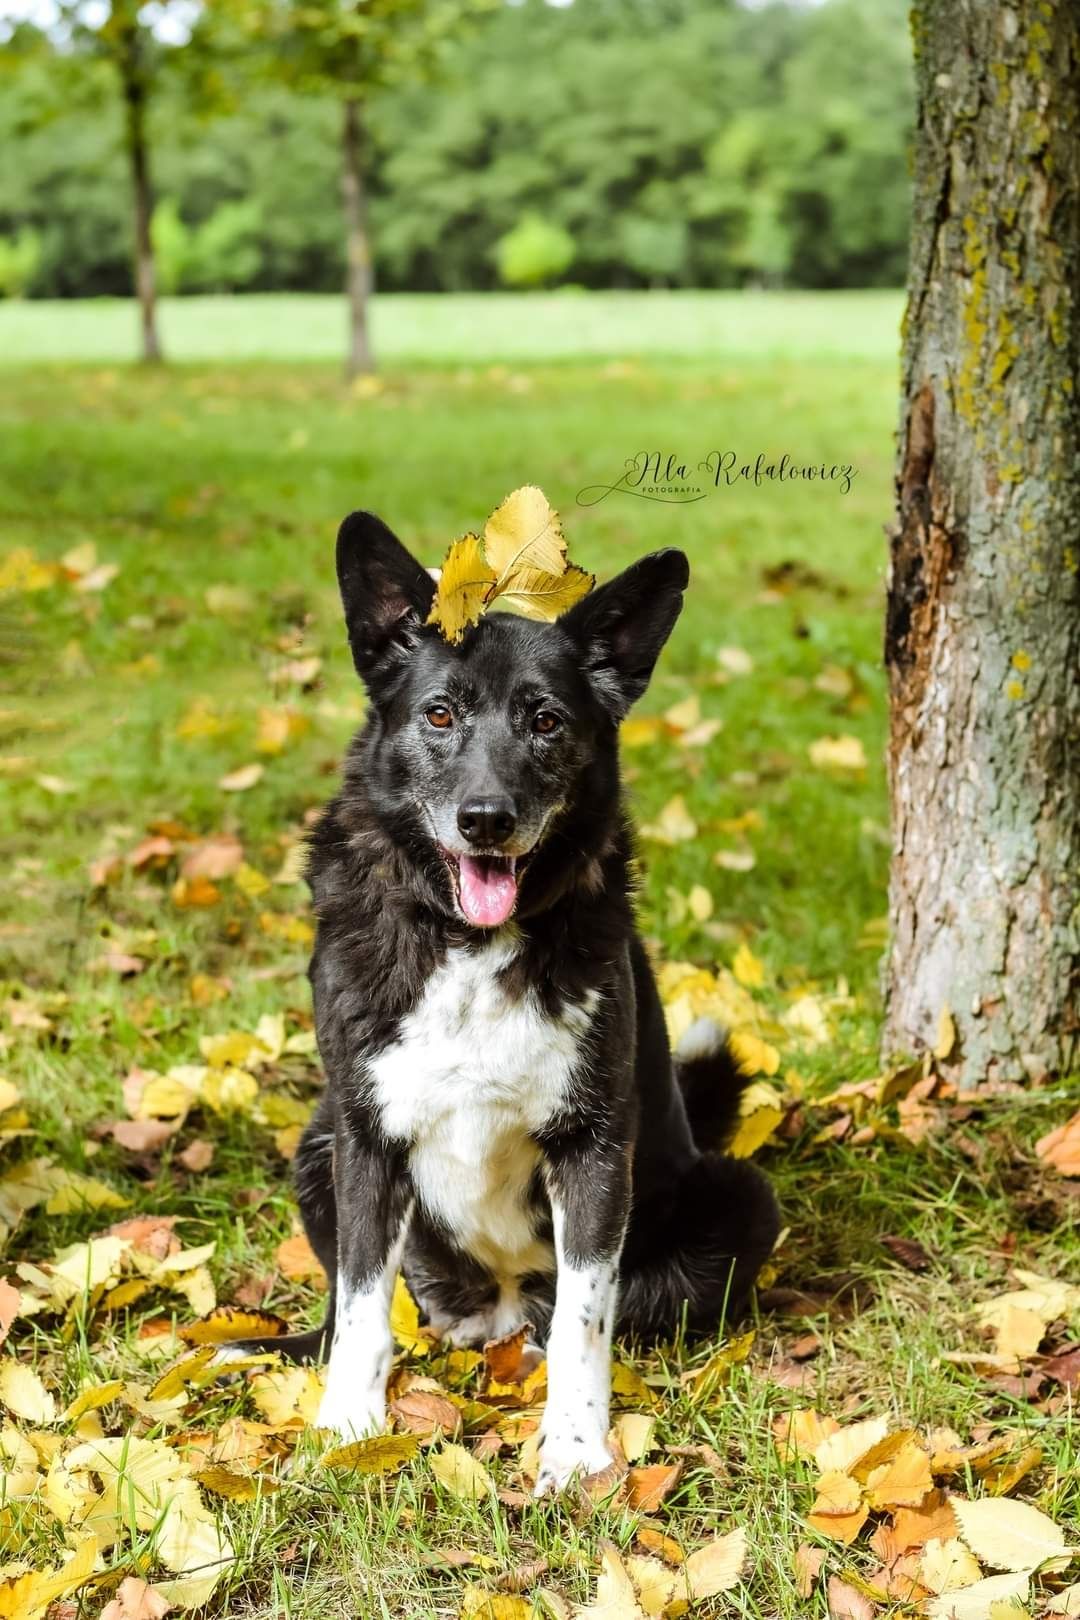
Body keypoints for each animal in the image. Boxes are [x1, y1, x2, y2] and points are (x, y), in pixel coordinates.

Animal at [249, 515, 780, 1490]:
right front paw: (348, 1430)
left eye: (546, 721)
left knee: (582, 1317)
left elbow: (584, 1321)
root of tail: (489, 1317)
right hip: (316, 1145)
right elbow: (363, 1308)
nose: (486, 820)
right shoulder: (365, 1137)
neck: (467, 942)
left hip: (738, 1200)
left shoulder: (595, 1146)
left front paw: (575, 1450)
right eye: (439, 715)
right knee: (355, 1311)